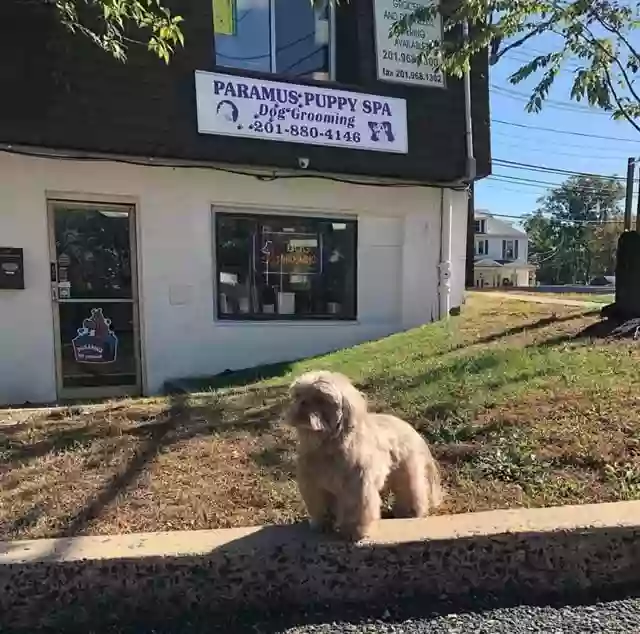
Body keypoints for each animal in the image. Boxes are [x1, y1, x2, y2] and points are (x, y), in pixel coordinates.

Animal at [288, 370, 442, 540]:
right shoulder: (315, 486)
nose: (303, 403)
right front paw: (323, 525)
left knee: (412, 491)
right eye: (298, 395)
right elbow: (320, 506)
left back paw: (411, 511)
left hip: (406, 471)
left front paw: (354, 531)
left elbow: (356, 509)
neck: (325, 446)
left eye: (321, 399)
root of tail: (409, 426)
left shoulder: (356, 485)